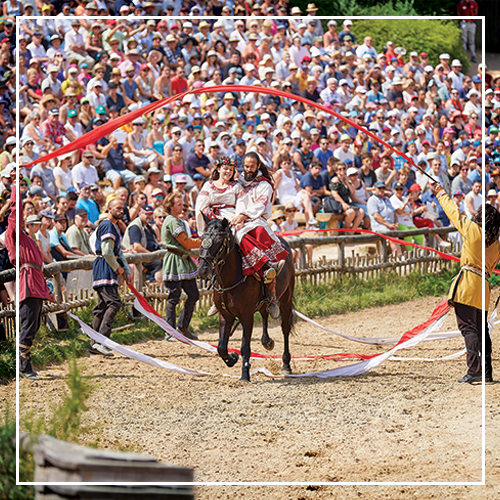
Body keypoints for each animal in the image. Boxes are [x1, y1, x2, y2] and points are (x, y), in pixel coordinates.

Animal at [197, 216, 294, 382]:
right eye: (202, 237)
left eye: (219, 239)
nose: (202, 269)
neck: (230, 280)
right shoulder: (225, 315)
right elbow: (221, 347)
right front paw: (232, 359)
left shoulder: (246, 316)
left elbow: (245, 347)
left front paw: (245, 375)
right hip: (263, 304)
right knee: (265, 313)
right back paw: (267, 341)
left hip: (286, 299)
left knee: (285, 328)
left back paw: (286, 365)